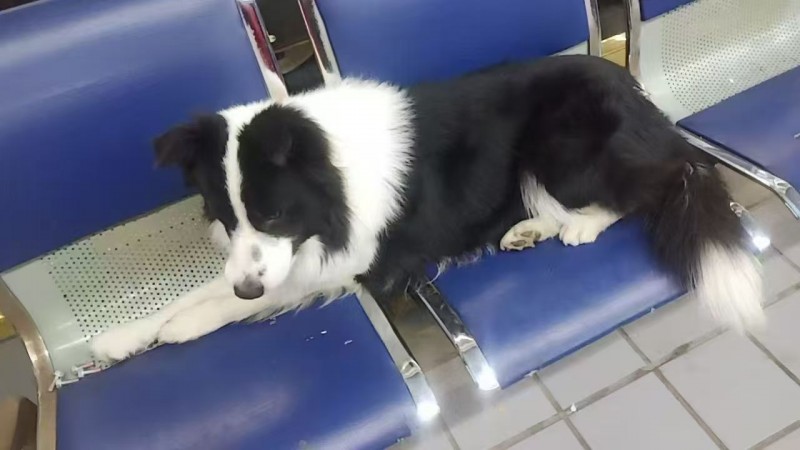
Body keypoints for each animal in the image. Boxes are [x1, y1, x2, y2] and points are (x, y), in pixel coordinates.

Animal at [91, 55, 764, 362]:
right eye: (227, 218)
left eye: (276, 215)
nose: (249, 287)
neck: (331, 177)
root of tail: (644, 101)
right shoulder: (274, 256)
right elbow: (208, 287)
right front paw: (123, 336)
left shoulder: (365, 261)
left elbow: (245, 298)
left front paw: (184, 327)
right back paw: (528, 230)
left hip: (563, 143)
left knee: (659, 185)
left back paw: (579, 226)